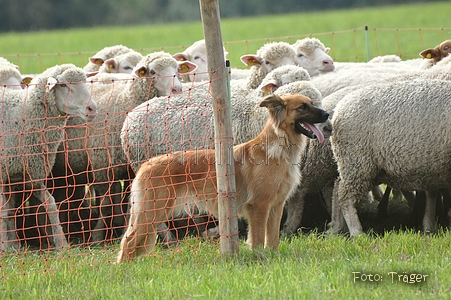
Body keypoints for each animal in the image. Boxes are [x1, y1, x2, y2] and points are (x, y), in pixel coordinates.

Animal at [0, 63, 98, 251]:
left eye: (85, 81)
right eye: (63, 85)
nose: (93, 109)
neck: (23, 116)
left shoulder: (32, 173)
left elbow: (50, 204)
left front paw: (62, 244)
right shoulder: (3, 175)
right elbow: (3, 212)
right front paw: (5, 247)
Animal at [50, 51, 197, 244]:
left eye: (177, 69)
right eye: (152, 72)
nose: (177, 89)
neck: (125, 100)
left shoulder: (130, 169)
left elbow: (129, 200)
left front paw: (121, 230)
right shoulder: (103, 166)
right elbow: (106, 204)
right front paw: (99, 237)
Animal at [116, 92, 328, 262]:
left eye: (311, 103)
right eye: (302, 107)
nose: (327, 115)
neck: (278, 147)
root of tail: (147, 164)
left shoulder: (276, 206)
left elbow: (272, 239)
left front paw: (272, 257)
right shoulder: (259, 207)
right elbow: (258, 239)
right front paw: (260, 258)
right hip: (151, 214)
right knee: (128, 242)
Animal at [328, 79, 451, 237]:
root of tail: (338, 109)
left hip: (360, 165)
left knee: (337, 186)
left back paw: (337, 227)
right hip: (357, 160)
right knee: (345, 195)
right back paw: (357, 232)